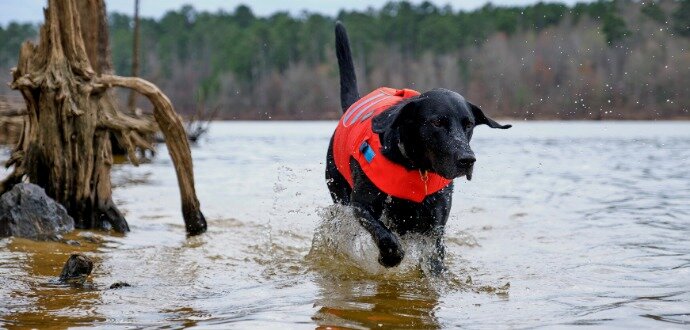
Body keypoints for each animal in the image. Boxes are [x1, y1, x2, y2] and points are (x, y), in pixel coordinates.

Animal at [324, 21, 510, 272]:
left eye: (469, 124)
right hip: (338, 192)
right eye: (437, 122)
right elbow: (383, 232)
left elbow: (434, 261)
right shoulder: (360, 205)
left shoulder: (434, 228)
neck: (416, 166)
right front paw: (389, 256)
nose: (467, 160)